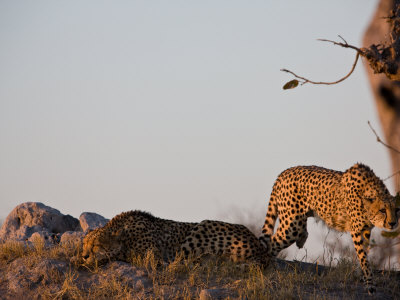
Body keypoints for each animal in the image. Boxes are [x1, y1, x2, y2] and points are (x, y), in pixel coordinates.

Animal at [258, 163, 398, 294]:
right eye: (382, 210)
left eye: (397, 210)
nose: (392, 223)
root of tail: (284, 172)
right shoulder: (357, 231)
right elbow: (364, 258)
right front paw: (370, 284)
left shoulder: (366, 230)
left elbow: (364, 255)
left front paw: (362, 276)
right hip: (292, 226)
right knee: (272, 242)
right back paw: (266, 269)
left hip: (297, 220)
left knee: (297, 232)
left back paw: (299, 241)